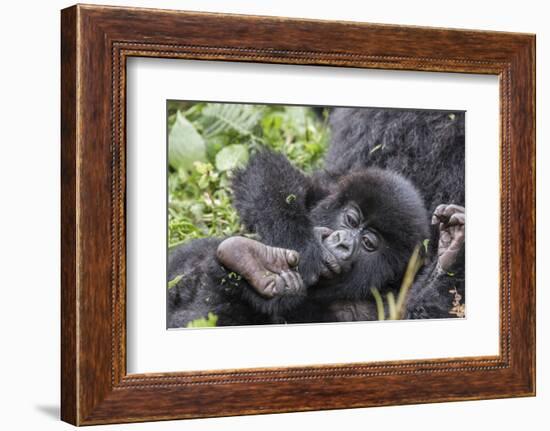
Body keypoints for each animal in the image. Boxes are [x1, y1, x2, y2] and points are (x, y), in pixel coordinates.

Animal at [168, 151, 432, 328]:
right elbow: (267, 173)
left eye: (368, 243)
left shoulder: (383, 305)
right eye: (351, 220)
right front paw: (301, 244)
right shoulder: (325, 189)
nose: (344, 243)